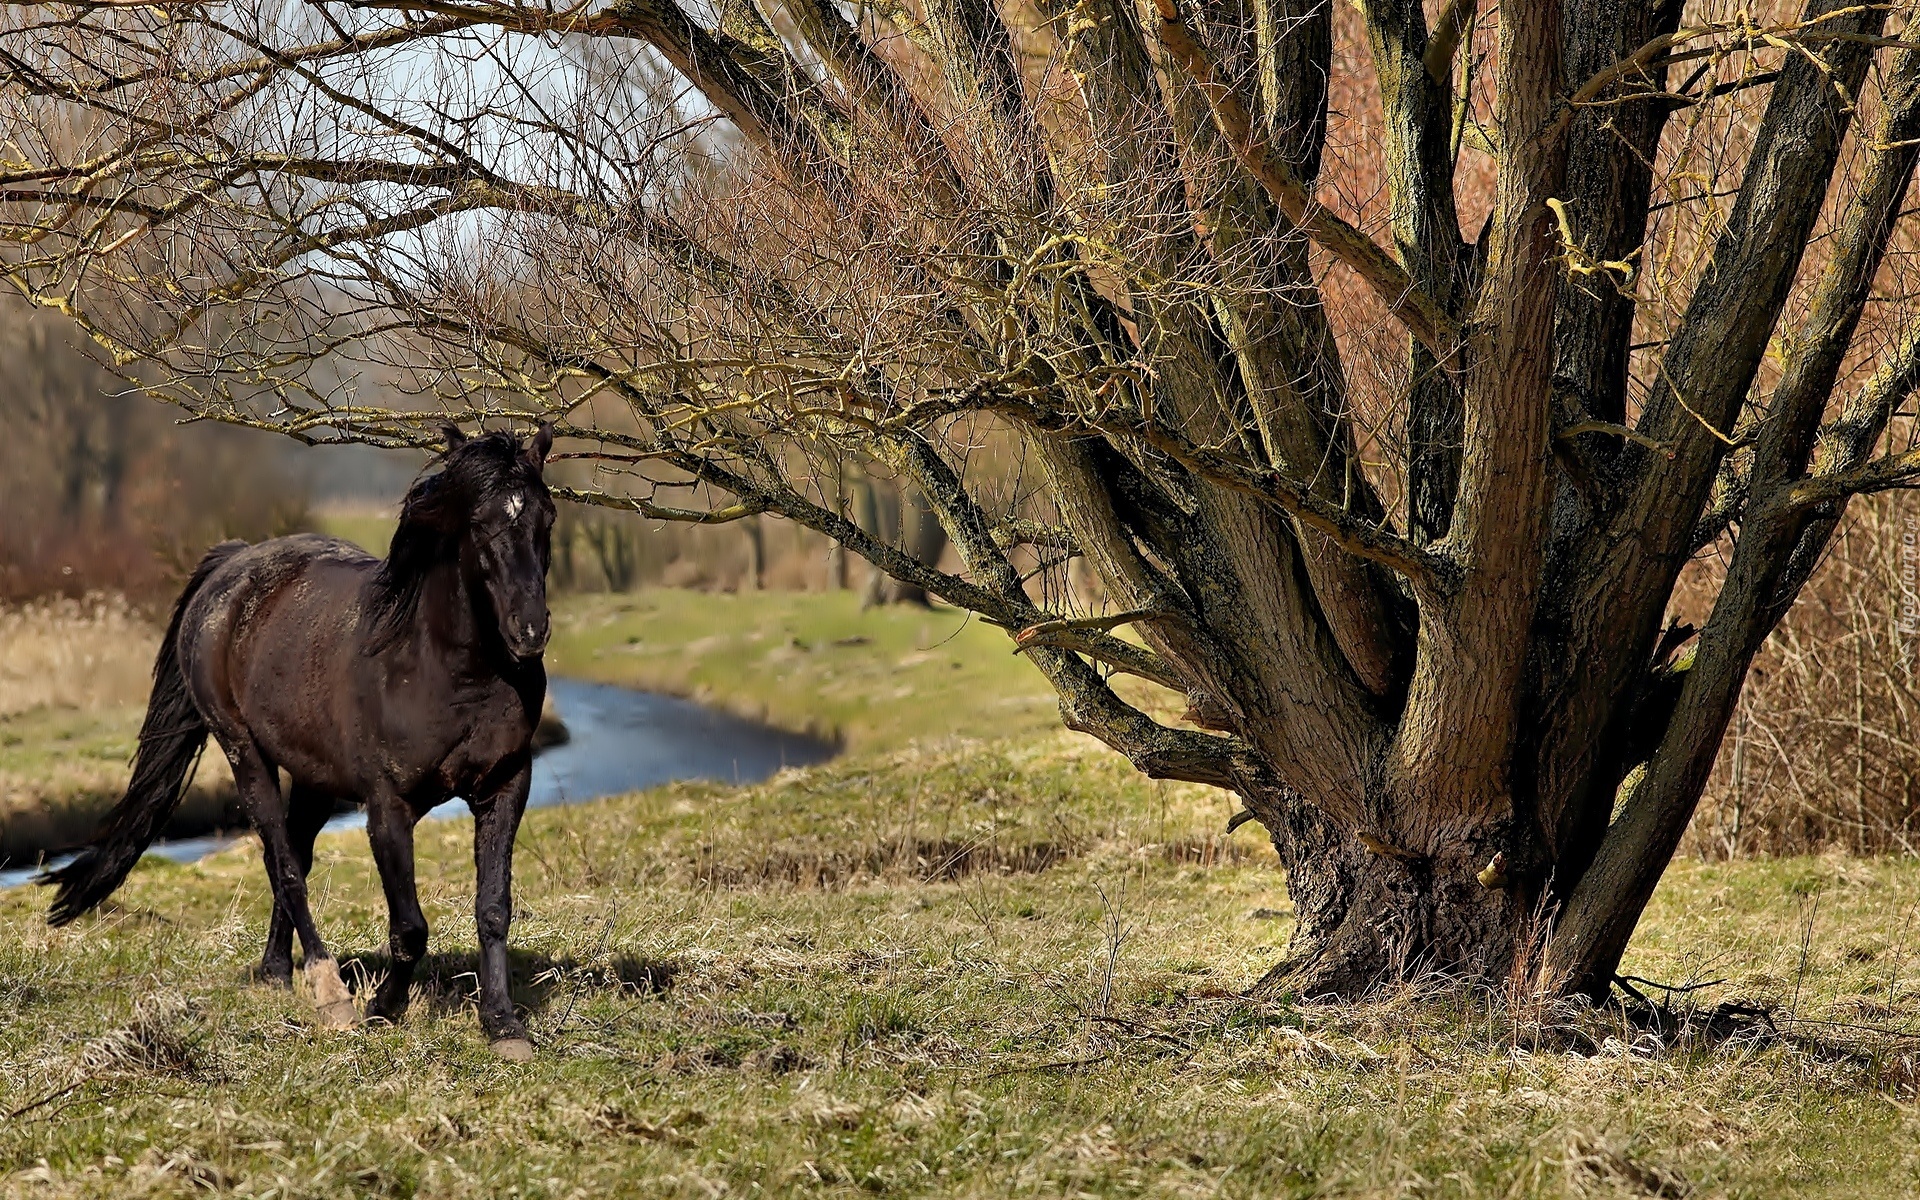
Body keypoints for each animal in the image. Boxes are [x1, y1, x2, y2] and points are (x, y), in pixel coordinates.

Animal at [45, 424, 556, 1059]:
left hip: (314, 778)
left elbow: (492, 908)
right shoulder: (388, 807)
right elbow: (409, 926)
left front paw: (504, 1025)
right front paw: (382, 1009)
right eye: (482, 524)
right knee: (283, 861)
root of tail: (233, 563)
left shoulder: (506, 787)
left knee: (291, 856)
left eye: (546, 518)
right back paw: (328, 992)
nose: (529, 632)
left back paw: (275, 972)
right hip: (244, 753)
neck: (444, 669)